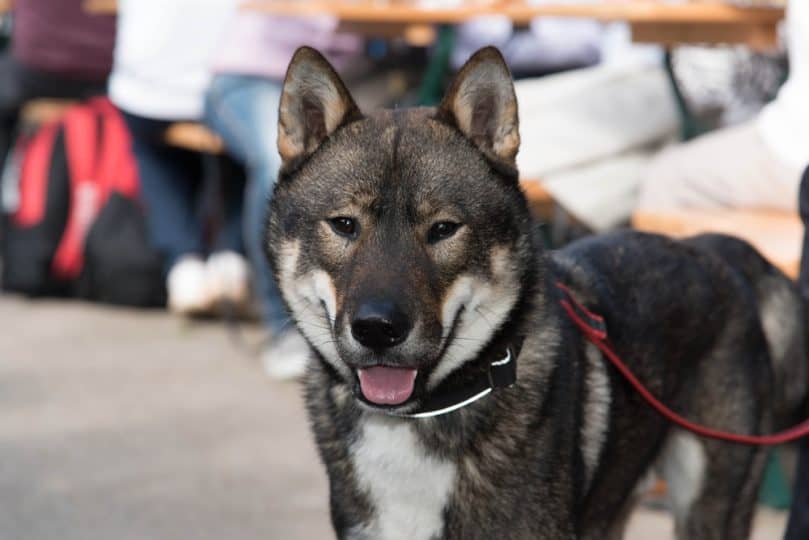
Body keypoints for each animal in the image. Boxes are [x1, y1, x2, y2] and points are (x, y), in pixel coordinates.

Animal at [266, 46, 808, 540]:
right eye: (343, 224)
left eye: (443, 229)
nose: (378, 328)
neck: (423, 415)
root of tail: (718, 248)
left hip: (708, 502)